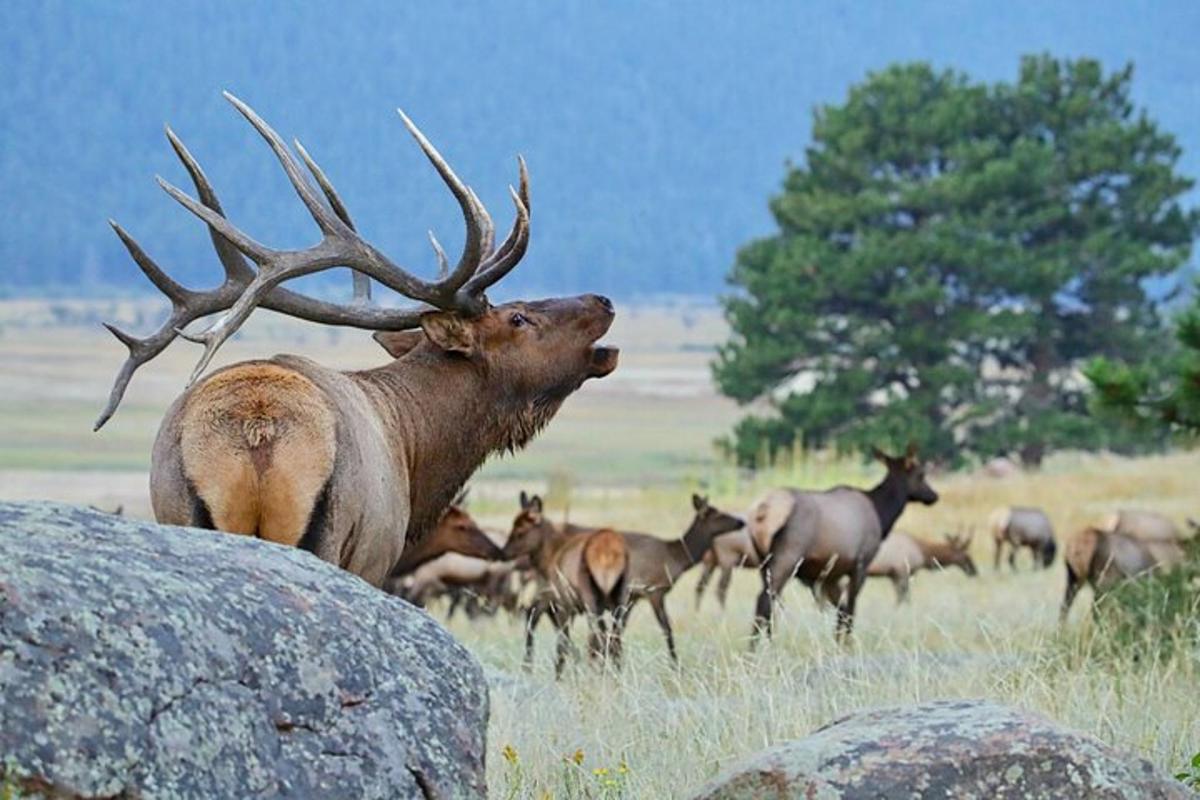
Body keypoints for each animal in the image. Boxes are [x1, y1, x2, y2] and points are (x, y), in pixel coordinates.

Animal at [96, 95, 619, 587]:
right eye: (518, 317)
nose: (604, 301)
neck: (416, 449)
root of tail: (257, 430)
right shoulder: (377, 556)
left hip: (177, 506)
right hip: (328, 534)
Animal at [501, 494, 633, 676]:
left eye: (520, 532)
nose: (503, 552)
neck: (550, 557)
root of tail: (609, 551)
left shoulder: (563, 603)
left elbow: (561, 642)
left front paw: (558, 676)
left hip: (590, 598)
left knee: (599, 638)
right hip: (619, 598)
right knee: (614, 638)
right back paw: (615, 675)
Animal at [748, 448, 936, 642]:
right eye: (921, 474)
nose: (933, 495)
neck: (881, 515)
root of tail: (763, 511)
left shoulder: (830, 575)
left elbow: (841, 609)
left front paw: (837, 641)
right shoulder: (861, 563)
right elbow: (850, 609)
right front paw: (846, 644)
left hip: (763, 562)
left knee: (771, 603)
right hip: (788, 555)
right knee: (764, 600)